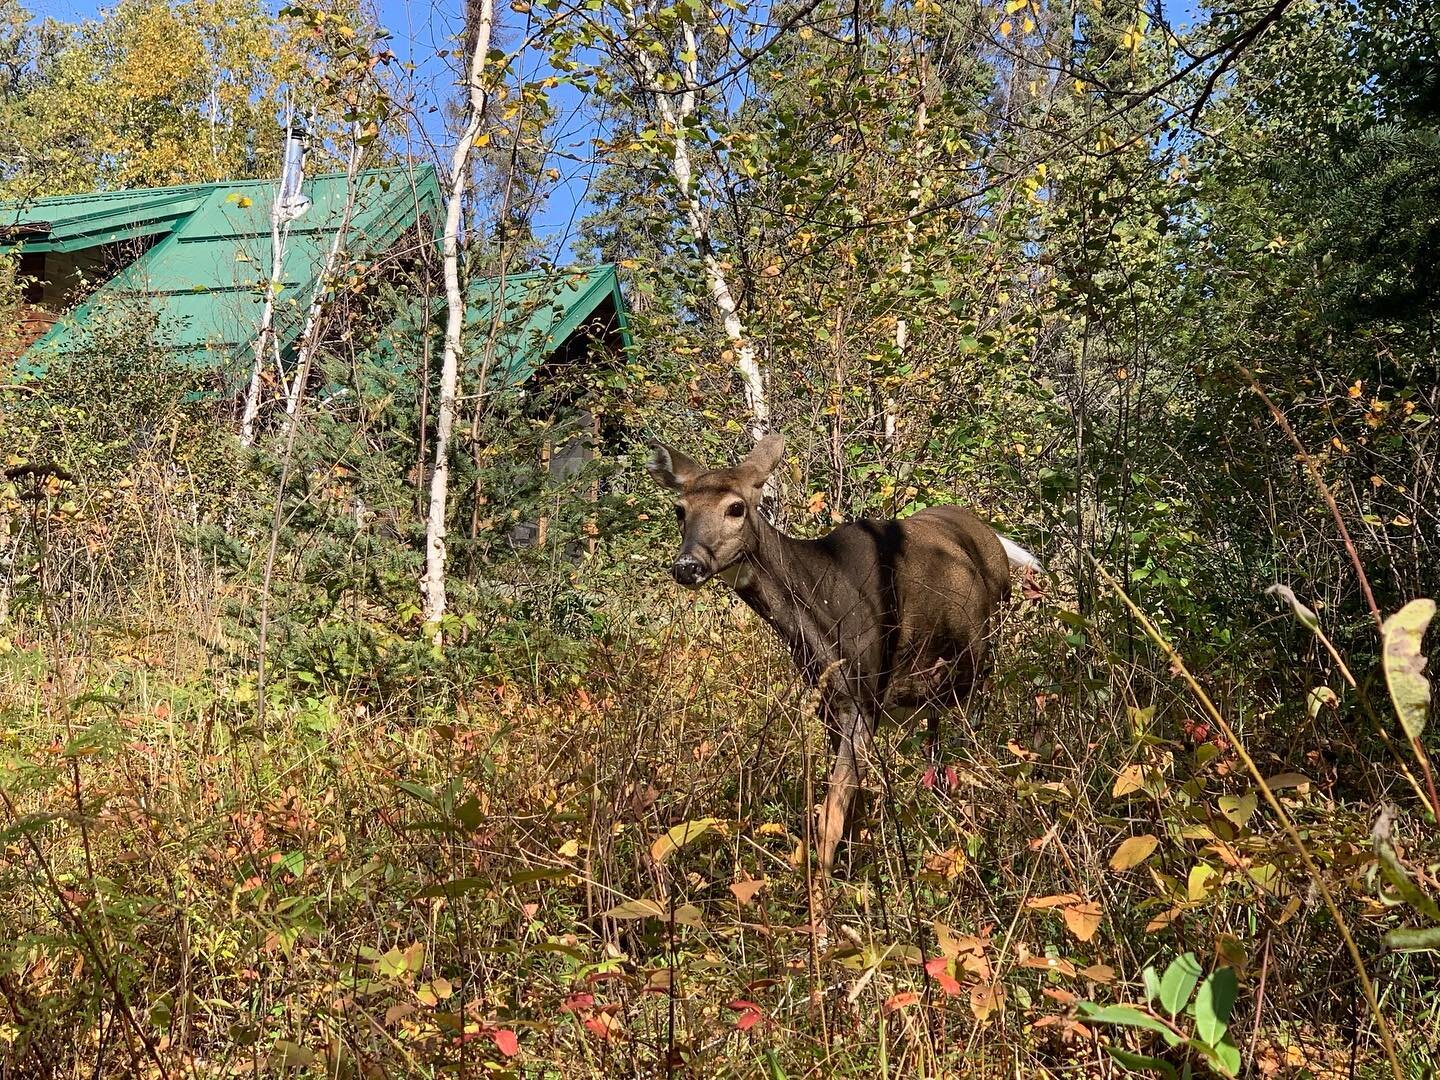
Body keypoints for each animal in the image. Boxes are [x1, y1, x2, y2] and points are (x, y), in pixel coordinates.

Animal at [648, 434, 1042, 875]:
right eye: (680, 509)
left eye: (736, 507)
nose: (687, 566)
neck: (825, 606)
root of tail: (992, 536)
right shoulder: (830, 702)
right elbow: (846, 810)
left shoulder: (864, 697)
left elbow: (831, 818)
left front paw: (824, 887)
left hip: (982, 659)